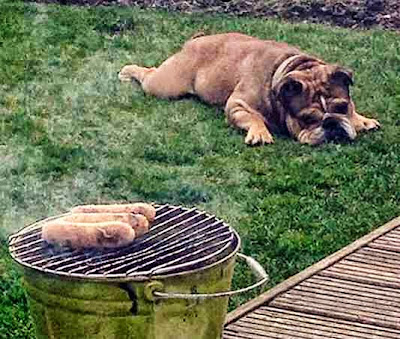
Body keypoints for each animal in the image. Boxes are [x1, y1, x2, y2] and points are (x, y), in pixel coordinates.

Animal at [118, 33, 378, 146]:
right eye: (307, 119)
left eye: (342, 107)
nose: (331, 123)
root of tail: (195, 40)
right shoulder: (237, 105)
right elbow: (253, 117)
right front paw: (260, 133)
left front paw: (361, 120)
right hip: (164, 85)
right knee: (149, 74)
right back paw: (128, 71)